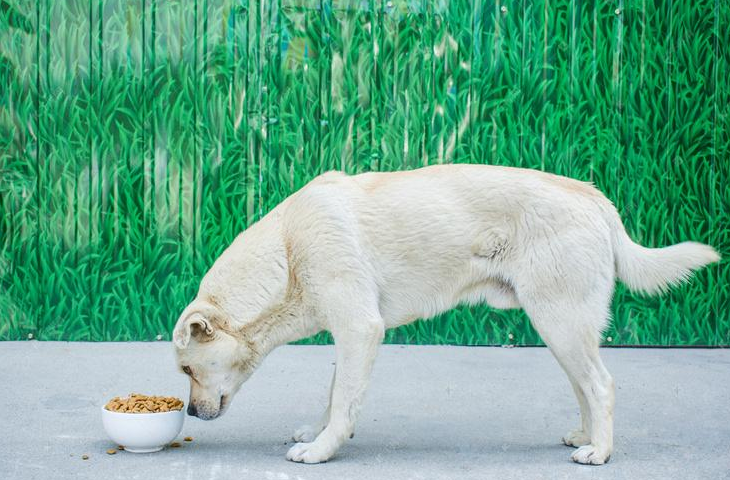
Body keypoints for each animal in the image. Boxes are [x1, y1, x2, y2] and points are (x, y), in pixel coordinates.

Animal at [171, 165, 716, 464]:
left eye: (187, 369)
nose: (192, 414)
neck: (287, 252)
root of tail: (595, 197)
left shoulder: (360, 329)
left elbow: (343, 400)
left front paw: (323, 450)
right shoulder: (350, 336)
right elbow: (336, 394)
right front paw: (321, 431)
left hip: (558, 322)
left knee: (601, 385)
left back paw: (600, 453)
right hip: (563, 328)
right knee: (587, 385)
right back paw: (586, 437)